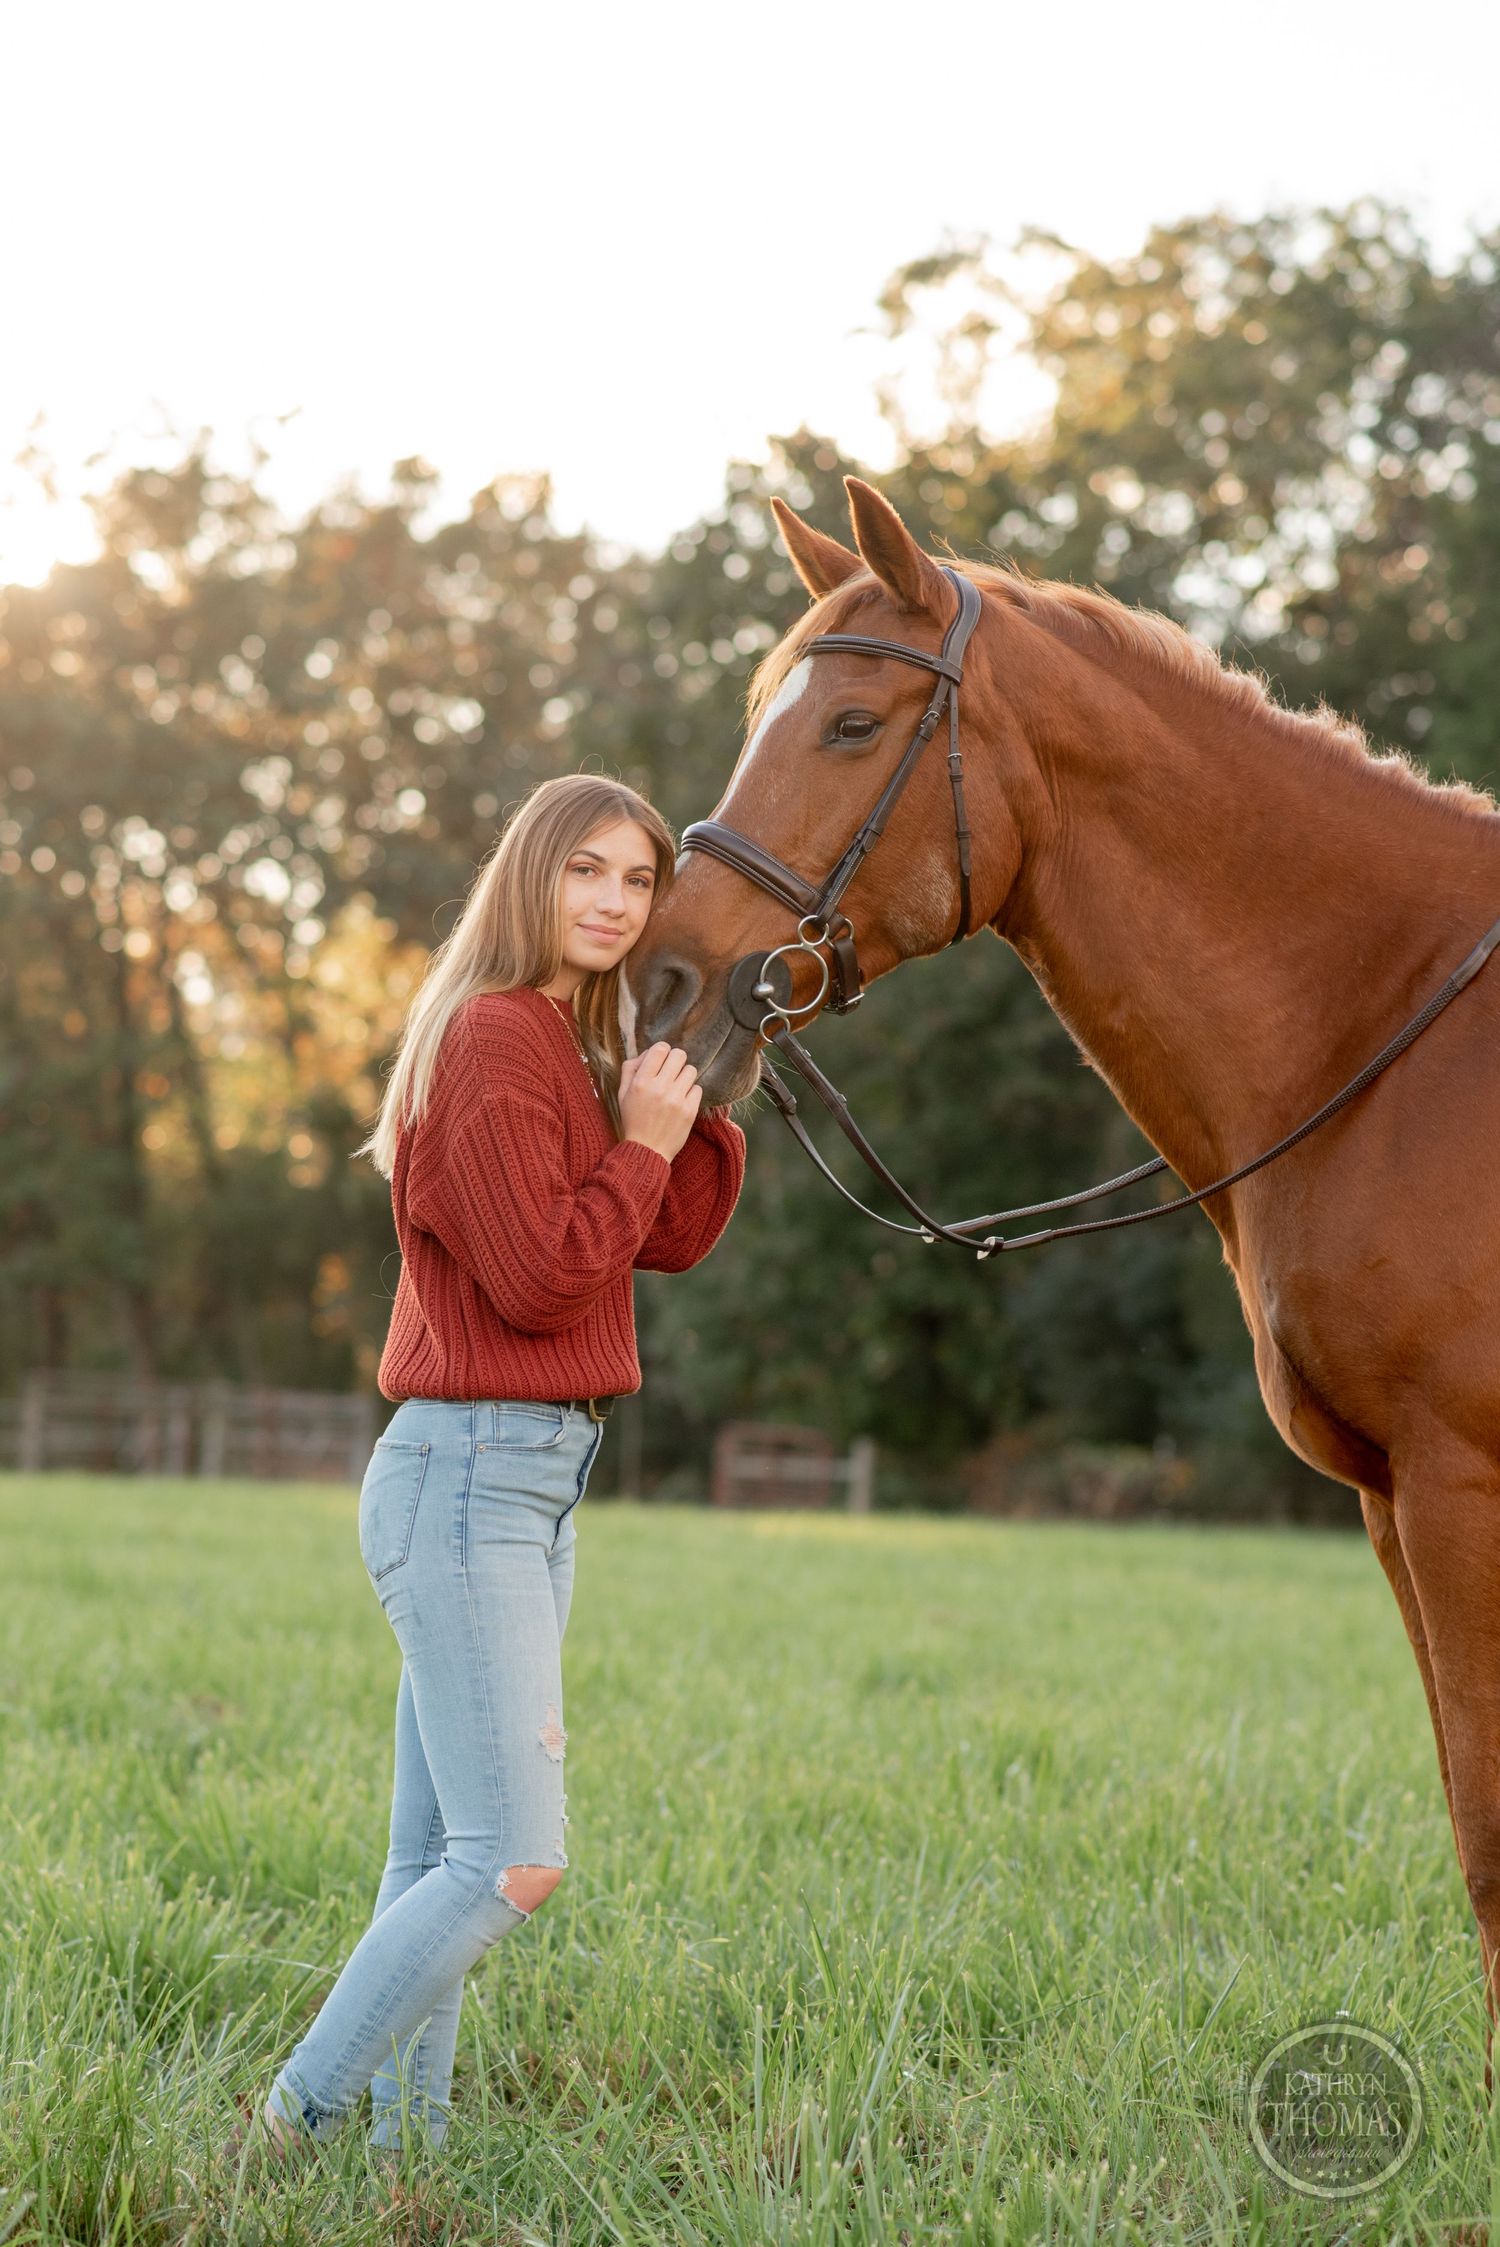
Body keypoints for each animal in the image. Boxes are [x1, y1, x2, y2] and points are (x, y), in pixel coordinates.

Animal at [623, 475, 1500, 2053]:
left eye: (851, 726)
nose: (661, 988)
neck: (1397, 1033)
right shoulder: (1395, 1505)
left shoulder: (1460, 1488)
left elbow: (1491, 1840)